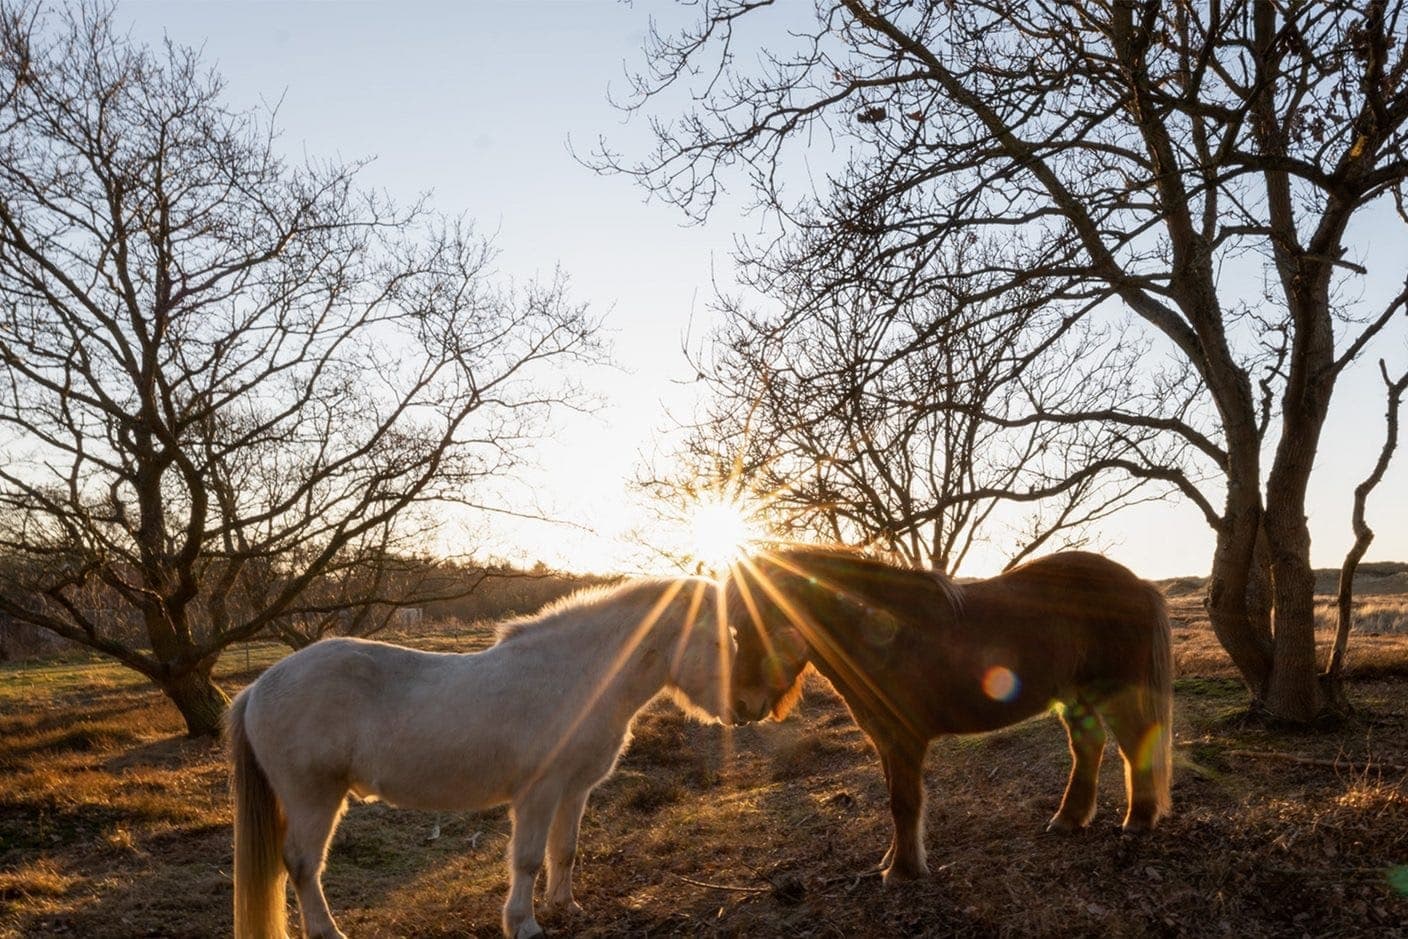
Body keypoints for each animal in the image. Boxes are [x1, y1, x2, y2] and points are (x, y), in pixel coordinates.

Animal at [228, 576, 734, 939]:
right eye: (718, 642)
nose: (743, 708)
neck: (576, 677)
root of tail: (257, 688)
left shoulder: (574, 790)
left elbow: (564, 850)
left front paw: (565, 906)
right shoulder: (538, 793)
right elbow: (527, 859)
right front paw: (524, 924)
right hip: (313, 799)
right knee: (302, 865)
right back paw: (327, 932)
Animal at [724, 545, 1172, 883]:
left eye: (756, 626)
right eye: (735, 629)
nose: (738, 706)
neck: (884, 634)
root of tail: (1137, 583)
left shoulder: (904, 739)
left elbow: (904, 802)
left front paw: (903, 871)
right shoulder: (884, 740)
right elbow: (895, 797)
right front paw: (892, 859)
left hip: (1115, 691)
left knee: (1135, 746)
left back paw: (1138, 820)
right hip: (1074, 695)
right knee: (1088, 746)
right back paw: (1069, 818)